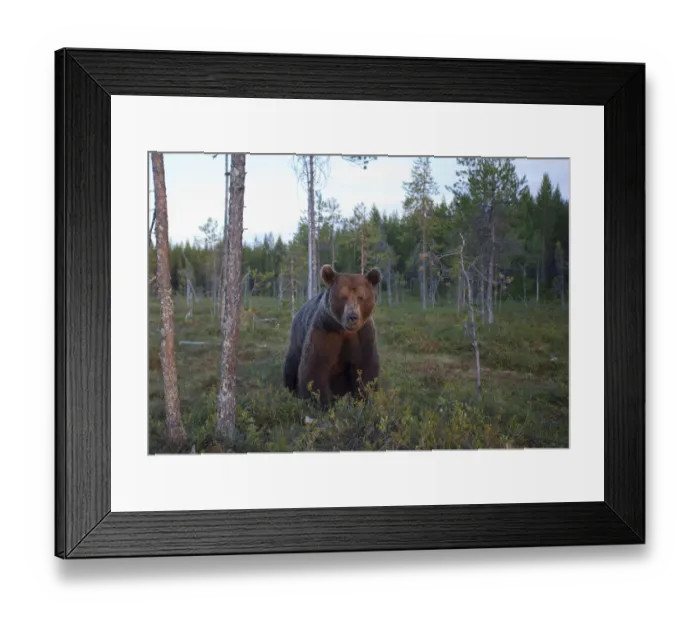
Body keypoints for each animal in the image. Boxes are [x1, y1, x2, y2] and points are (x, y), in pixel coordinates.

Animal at [283, 264, 382, 408]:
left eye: (361, 297)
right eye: (343, 296)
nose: (352, 317)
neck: (345, 331)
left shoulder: (364, 335)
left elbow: (365, 367)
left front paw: (364, 398)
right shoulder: (325, 330)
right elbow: (315, 366)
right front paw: (320, 402)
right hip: (297, 339)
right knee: (291, 364)